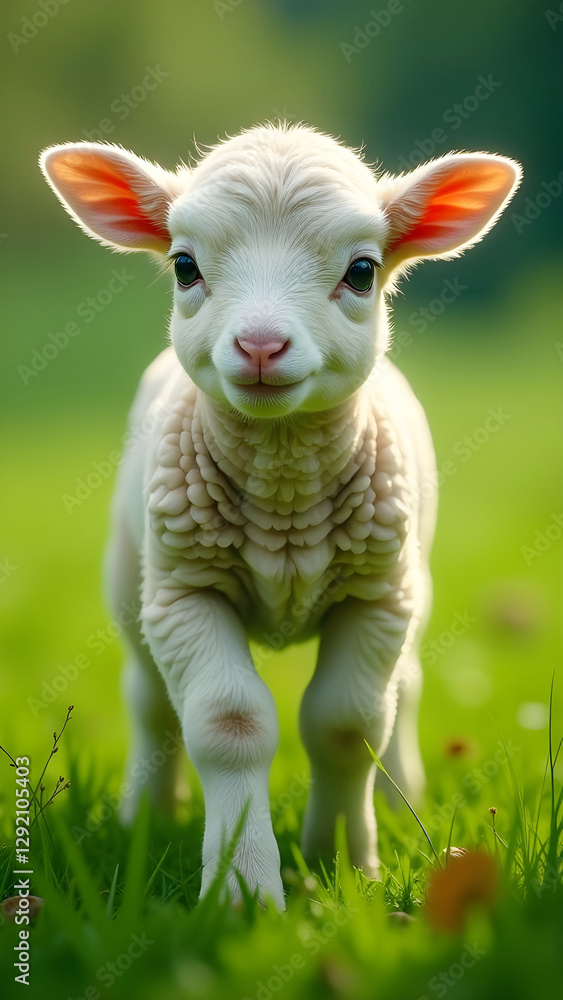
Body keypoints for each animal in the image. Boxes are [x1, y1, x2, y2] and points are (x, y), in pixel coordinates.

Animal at [40, 124, 521, 910]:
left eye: (362, 271)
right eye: (184, 266)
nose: (260, 345)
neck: (284, 495)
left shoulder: (376, 598)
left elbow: (347, 725)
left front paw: (341, 862)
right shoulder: (185, 593)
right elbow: (227, 723)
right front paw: (242, 888)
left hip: (411, 585)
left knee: (405, 689)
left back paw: (400, 801)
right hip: (132, 579)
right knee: (149, 702)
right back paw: (146, 816)